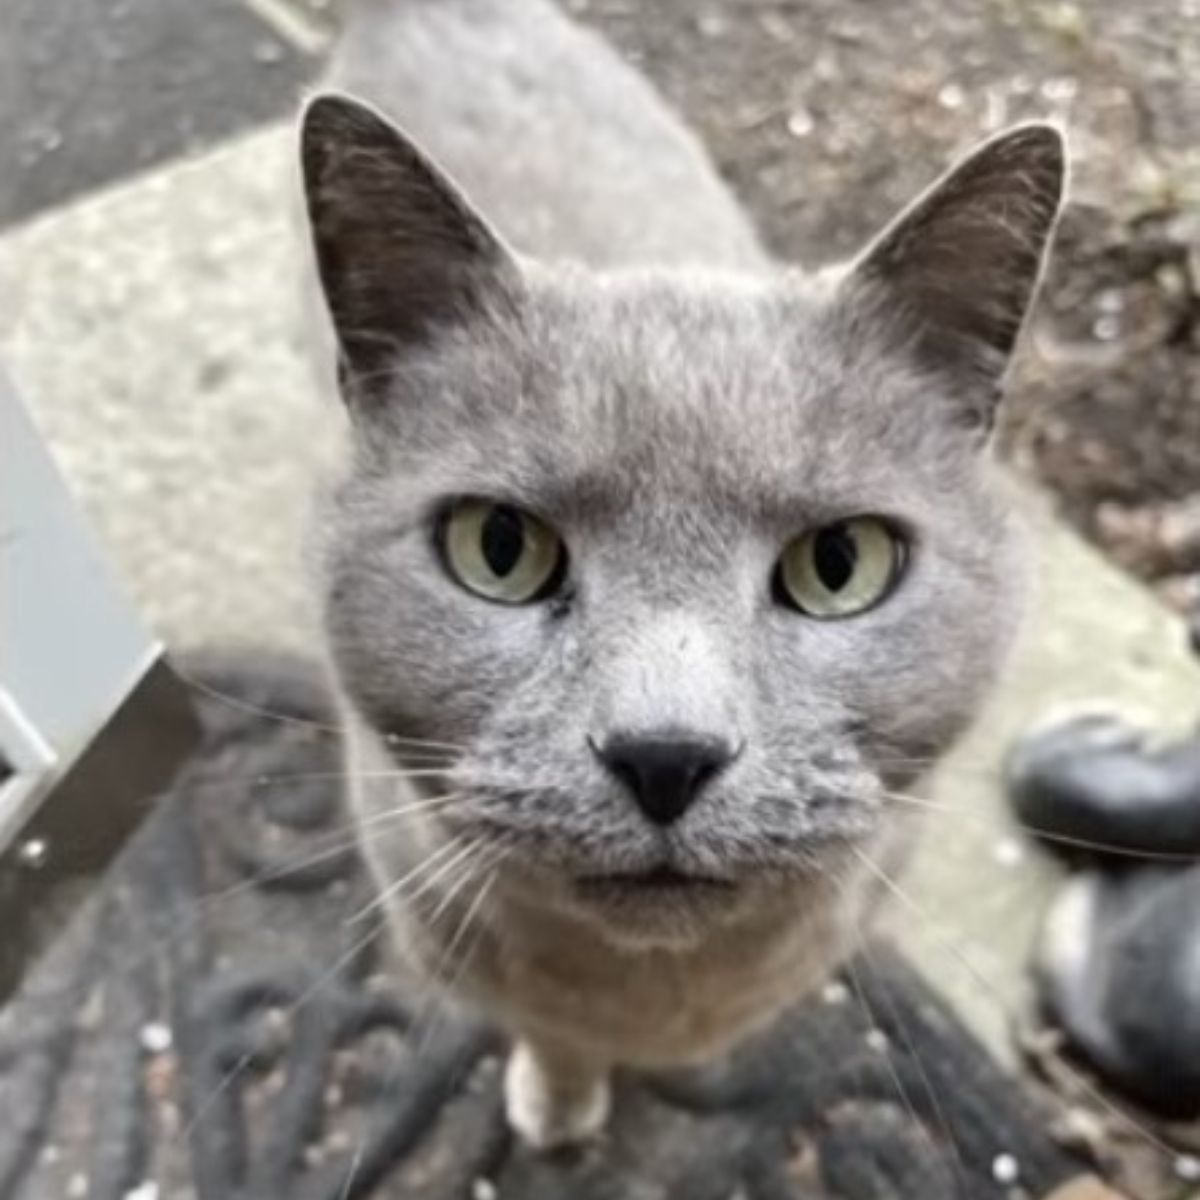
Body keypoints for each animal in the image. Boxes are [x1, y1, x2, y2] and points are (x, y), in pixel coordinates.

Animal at [297, 0, 1060, 1147]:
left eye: (841, 564)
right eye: (498, 548)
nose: (666, 754)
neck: (658, 989)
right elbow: (557, 1039)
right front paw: (559, 1109)